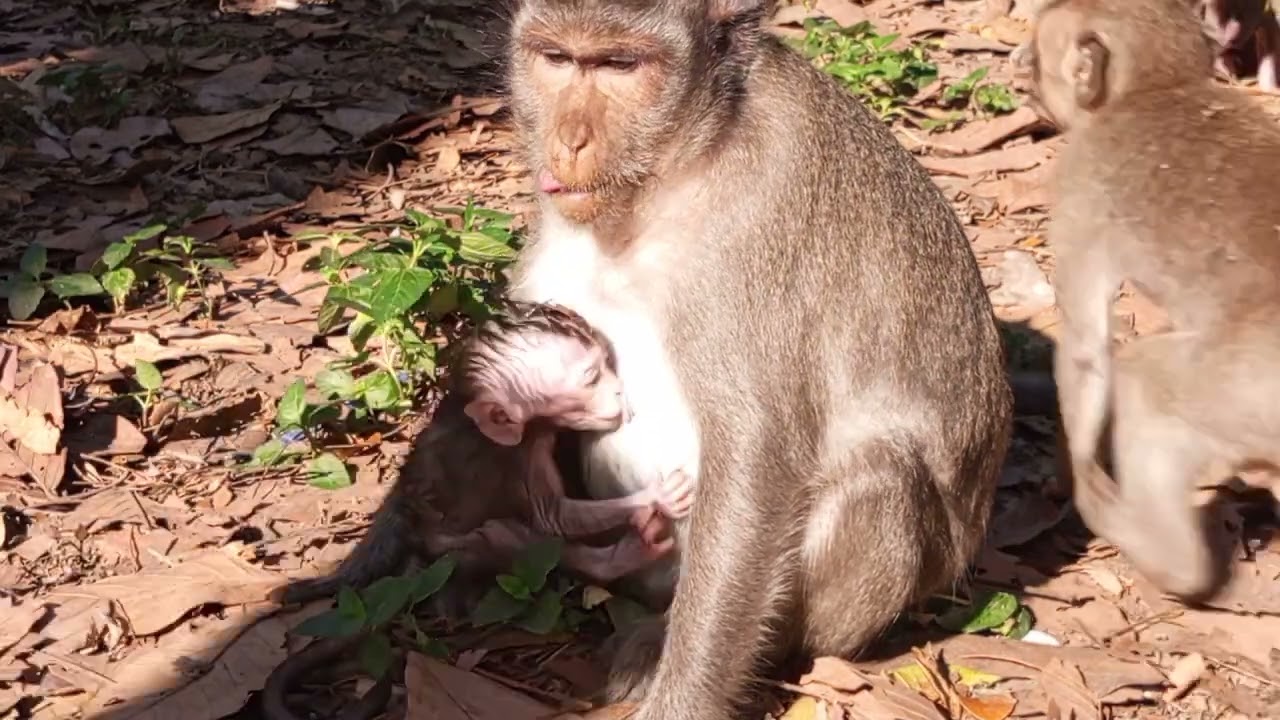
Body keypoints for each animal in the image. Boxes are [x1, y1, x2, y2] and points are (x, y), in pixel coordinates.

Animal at [263, 301, 695, 720]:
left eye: (607, 365)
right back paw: (628, 553)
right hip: (456, 551)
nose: (620, 392)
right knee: (511, 539)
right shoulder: (526, 452)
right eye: (591, 379)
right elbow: (552, 517)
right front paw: (653, 498)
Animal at [502, 1, 1013, 717]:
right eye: (557, 58)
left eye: (619, 65)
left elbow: (756, 457)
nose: (569, 139)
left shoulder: (750, 234)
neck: (675, 169)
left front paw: (682, 701)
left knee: (882, 475)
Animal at [1027, 0, 1280, 601]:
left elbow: (1085, 348)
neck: (1160, 86)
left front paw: (1072, 465)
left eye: (1038, 58)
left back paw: (1156, 550)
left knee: (1143, 380)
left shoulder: (1080, 182)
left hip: (1241, 385)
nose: (1020, 67)